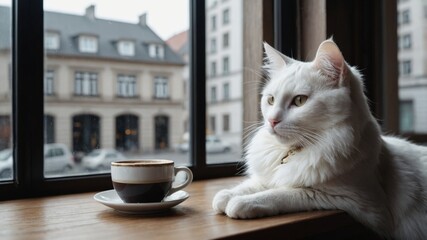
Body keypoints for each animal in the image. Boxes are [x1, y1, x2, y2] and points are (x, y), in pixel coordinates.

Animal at [213, 38, 427, 239]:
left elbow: (283, 192)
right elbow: (256, 184)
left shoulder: (351, 199)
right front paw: (227, 195)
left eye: (299, 101)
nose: (272, 121)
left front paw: (244, 202)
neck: (293, 152)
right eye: (271, 100)